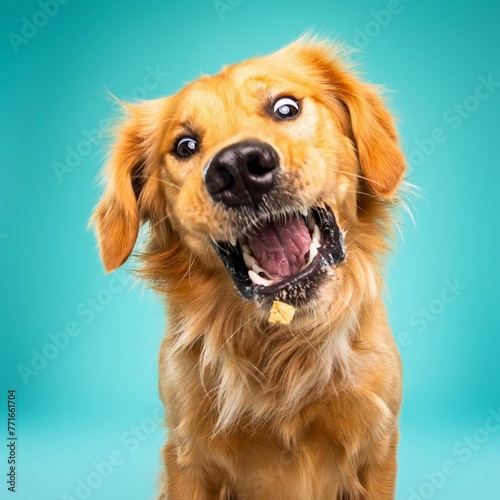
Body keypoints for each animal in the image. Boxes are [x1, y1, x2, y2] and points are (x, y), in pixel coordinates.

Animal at [92, 37, 404, 498]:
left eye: (286, 108)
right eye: (185, 146)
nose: (238, 167)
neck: (283, 345)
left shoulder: (377, 447)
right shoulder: (186, 457)